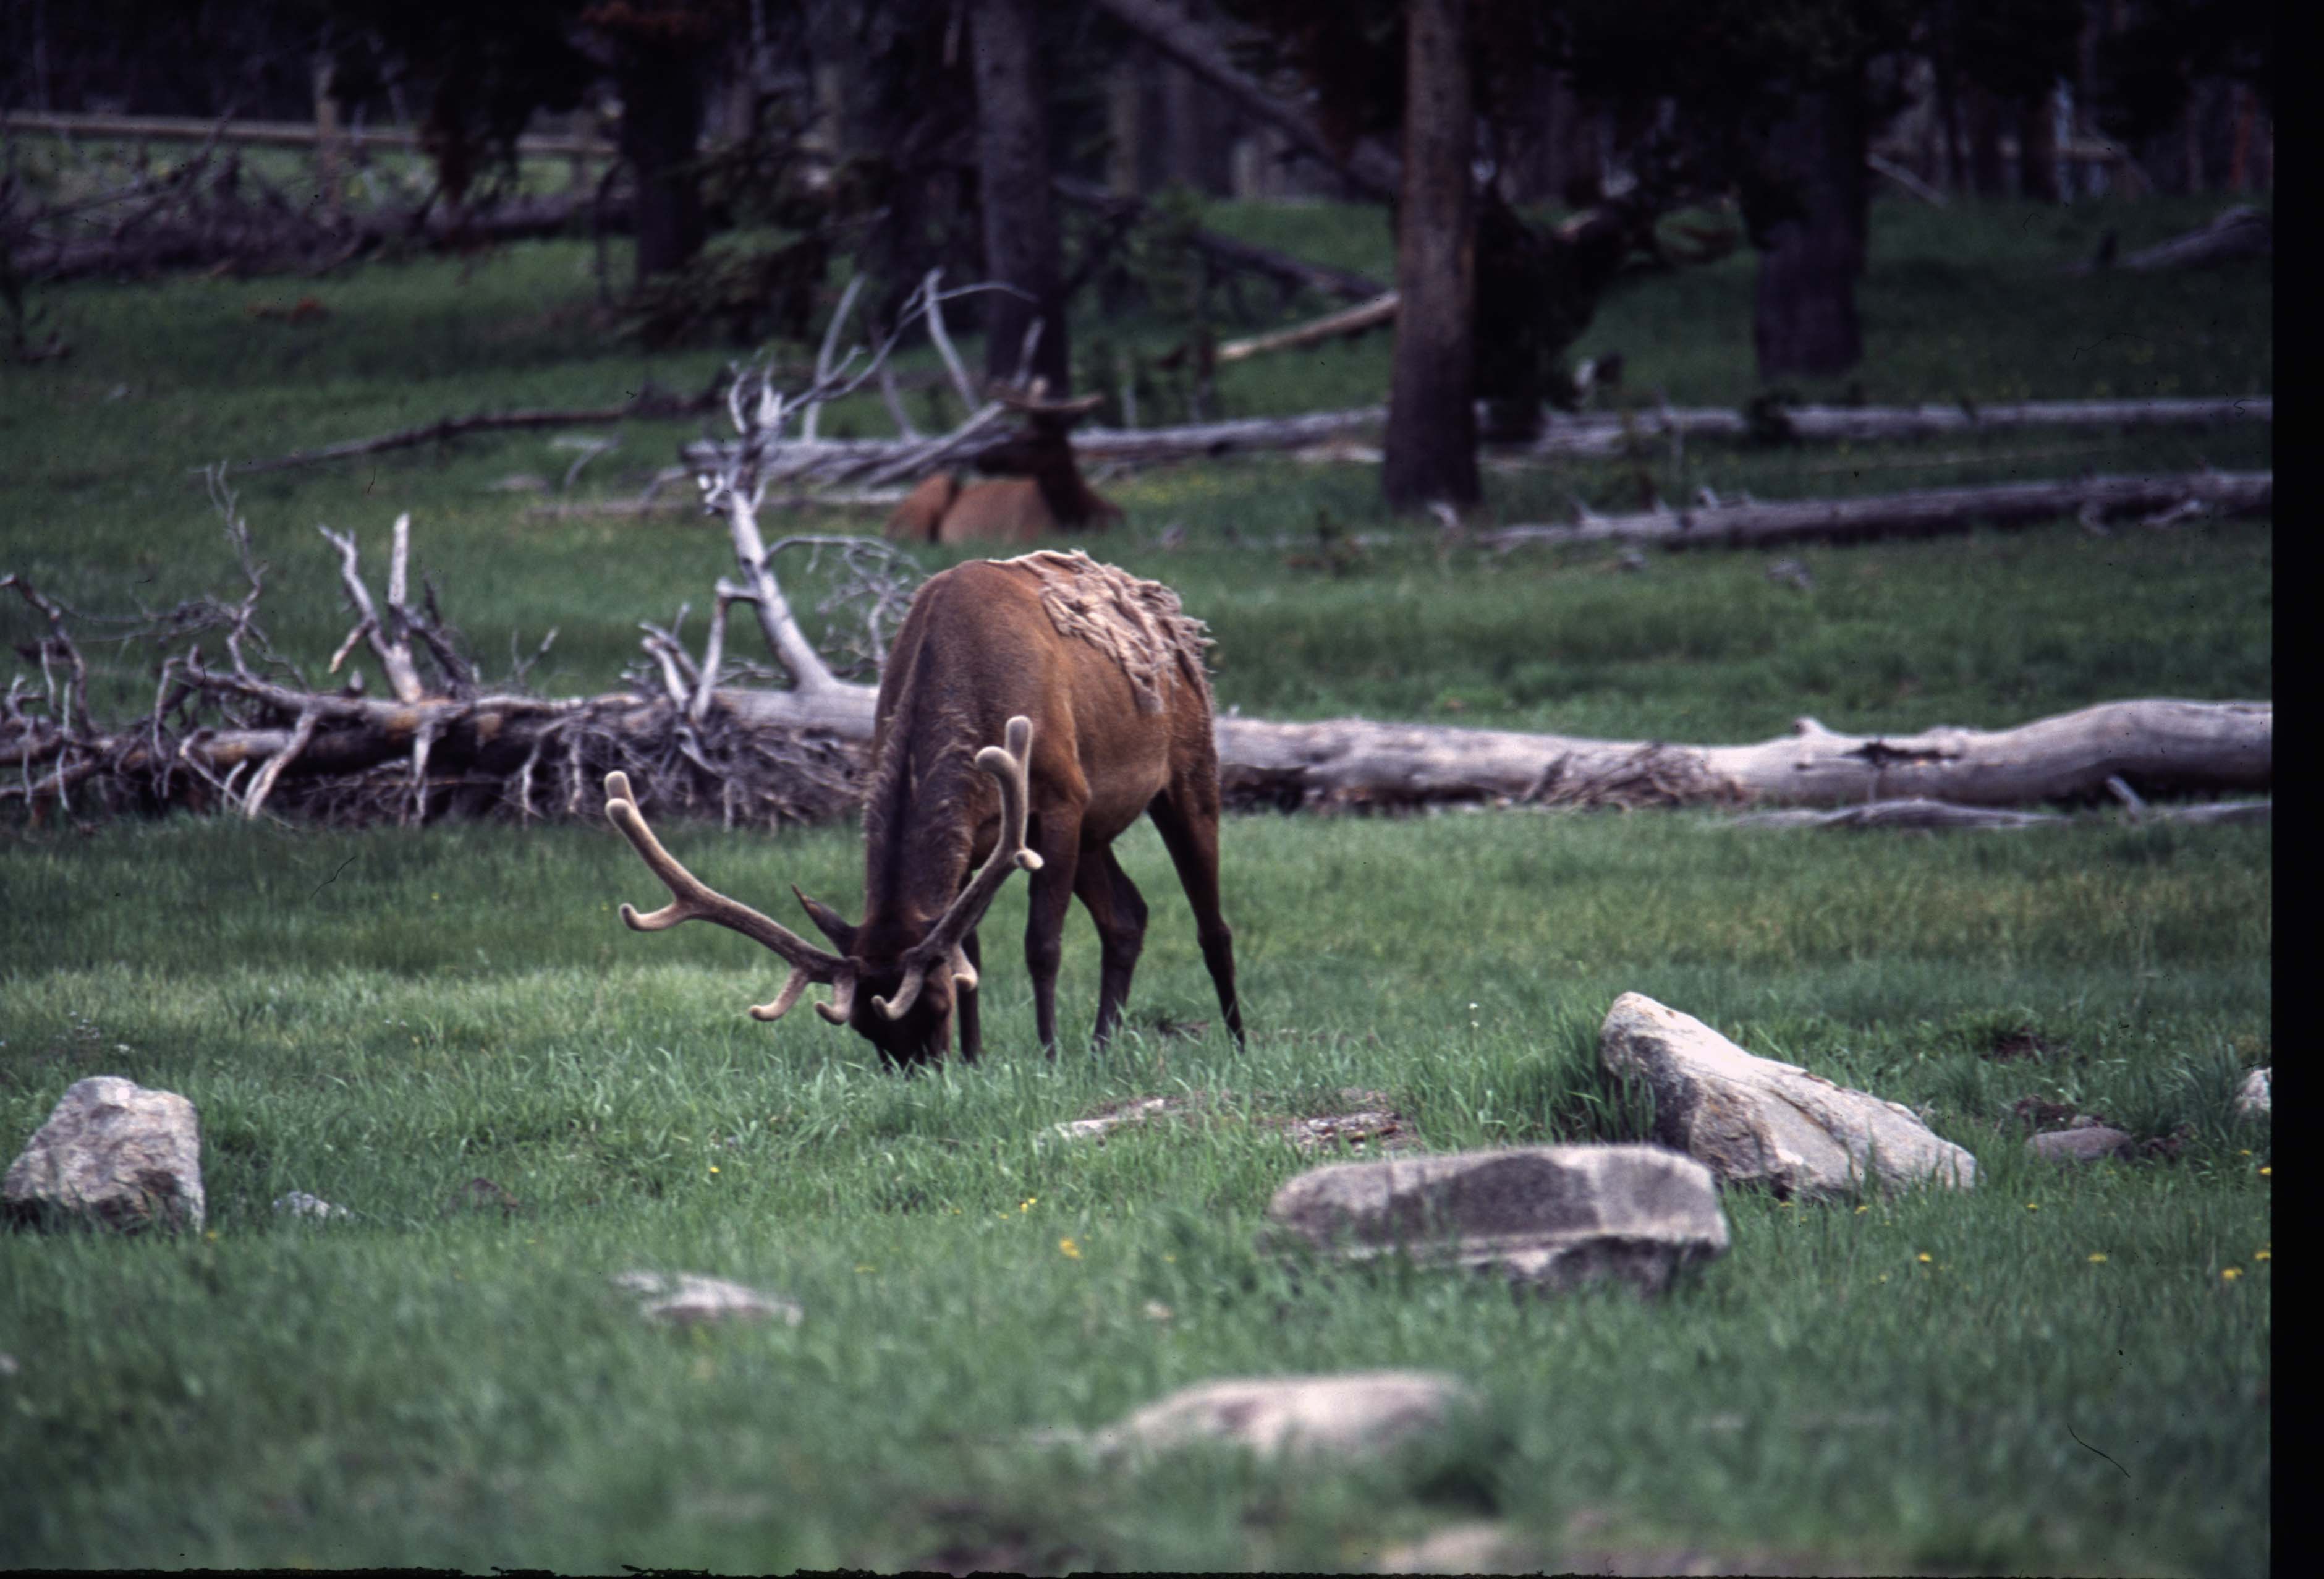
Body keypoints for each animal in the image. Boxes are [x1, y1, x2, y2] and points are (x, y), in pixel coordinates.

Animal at [602, 554, 1241, 1067]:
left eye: (934, 1007)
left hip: (1186, 768)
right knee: (1128, 916)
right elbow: (969, 951)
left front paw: (1048, 1054)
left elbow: (1042, 944)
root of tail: (1165, 613)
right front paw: (977, 1059)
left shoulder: (1061, 798)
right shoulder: (983, 839)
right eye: (865, 1029)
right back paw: (1102, 1047)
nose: (918, 1075)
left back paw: (1235, 1041)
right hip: (1095, 834)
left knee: (1212, 924)